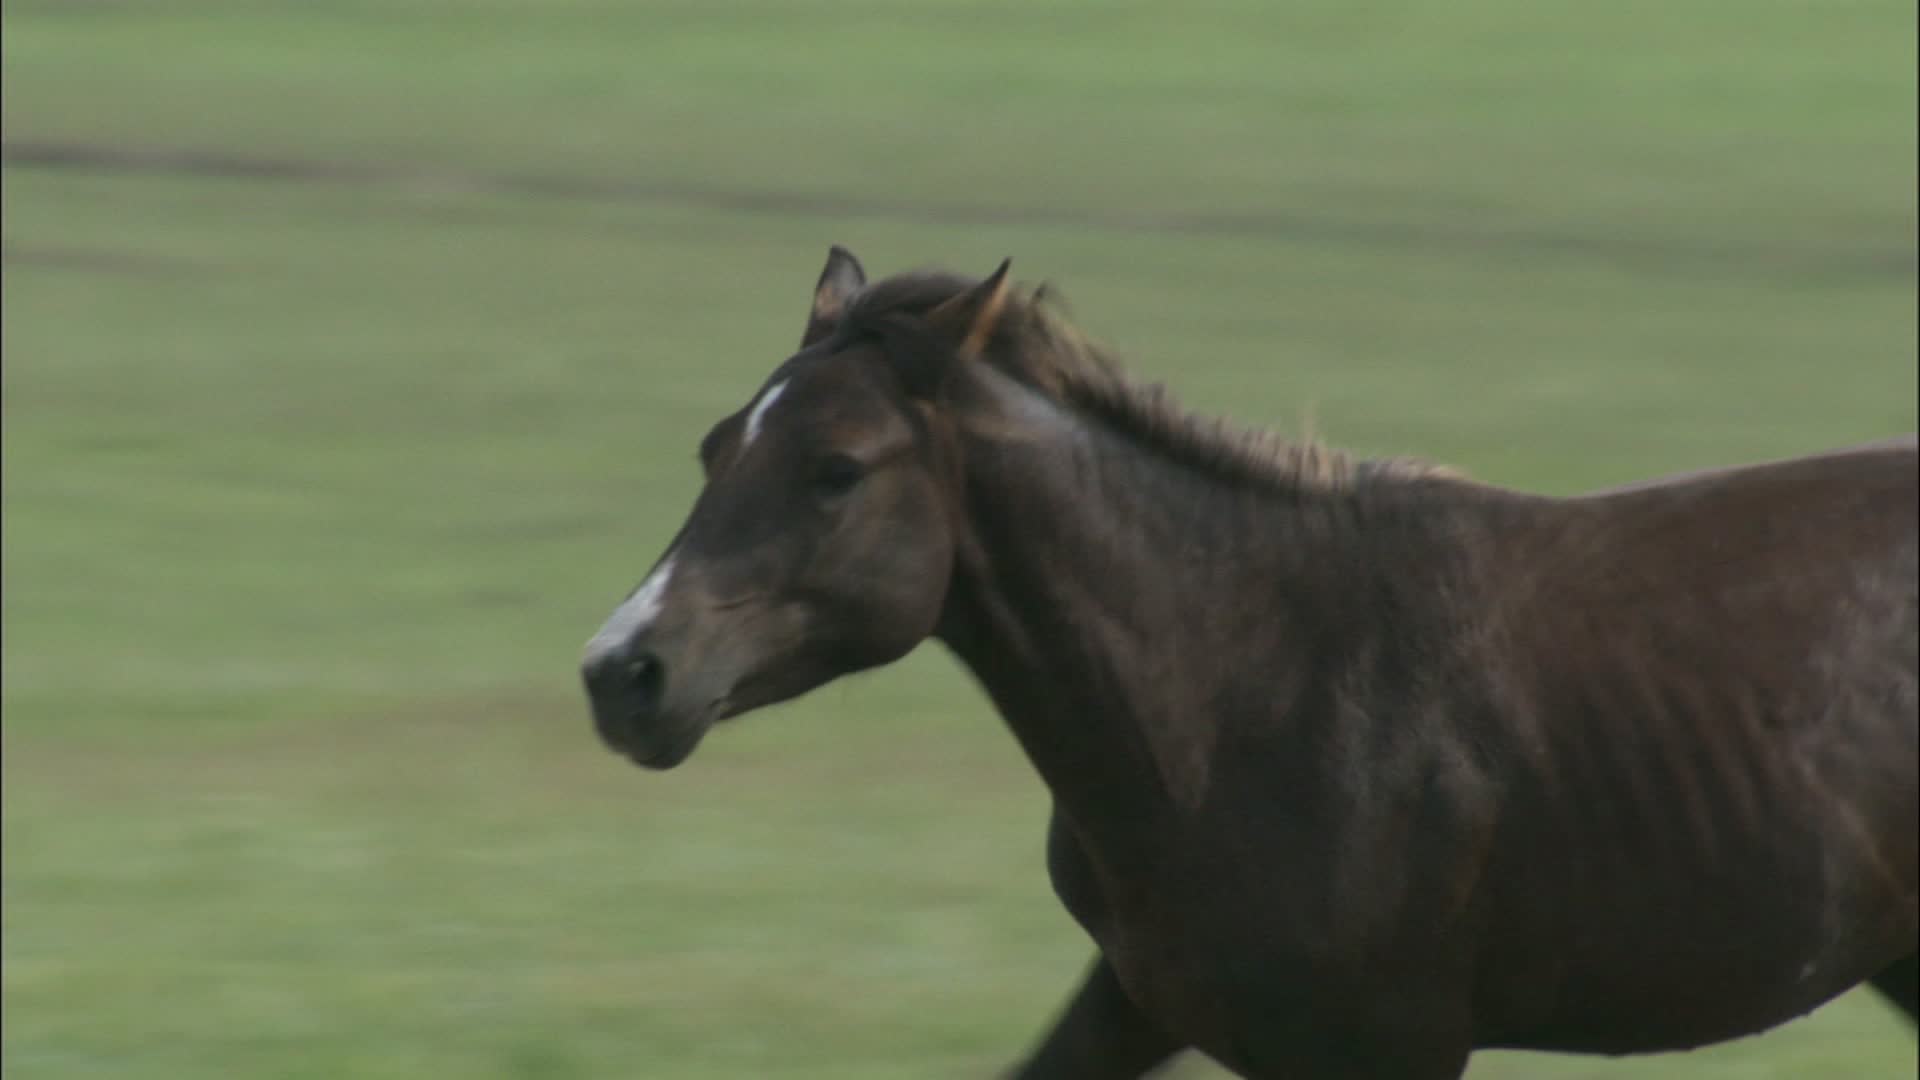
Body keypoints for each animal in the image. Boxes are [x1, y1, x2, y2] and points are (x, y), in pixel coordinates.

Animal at [581, 247, 1918, 1078]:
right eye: (716, 446)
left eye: (837, 469)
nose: (622, 673)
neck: (1240, 695)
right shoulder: (1142, 997)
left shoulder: (1390, 1043)